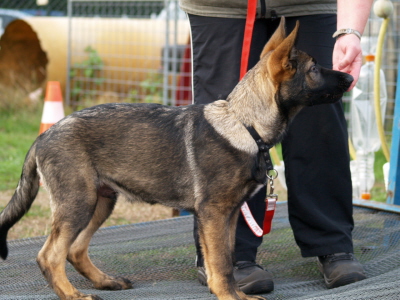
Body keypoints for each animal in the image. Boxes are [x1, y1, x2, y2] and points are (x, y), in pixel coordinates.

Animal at [0, 18, 352, 300]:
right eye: (315, 69)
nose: (349, 78)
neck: (243, 123)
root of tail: (43, 136)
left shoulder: (226, 216)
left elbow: (224, 260)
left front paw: (234, 294)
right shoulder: (214, 214)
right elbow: (221, 263)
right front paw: (230, 296)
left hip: (101, 201)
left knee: (74, 250)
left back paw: (105, 282)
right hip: (79, 202)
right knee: (50, 255)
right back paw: (73, 295)